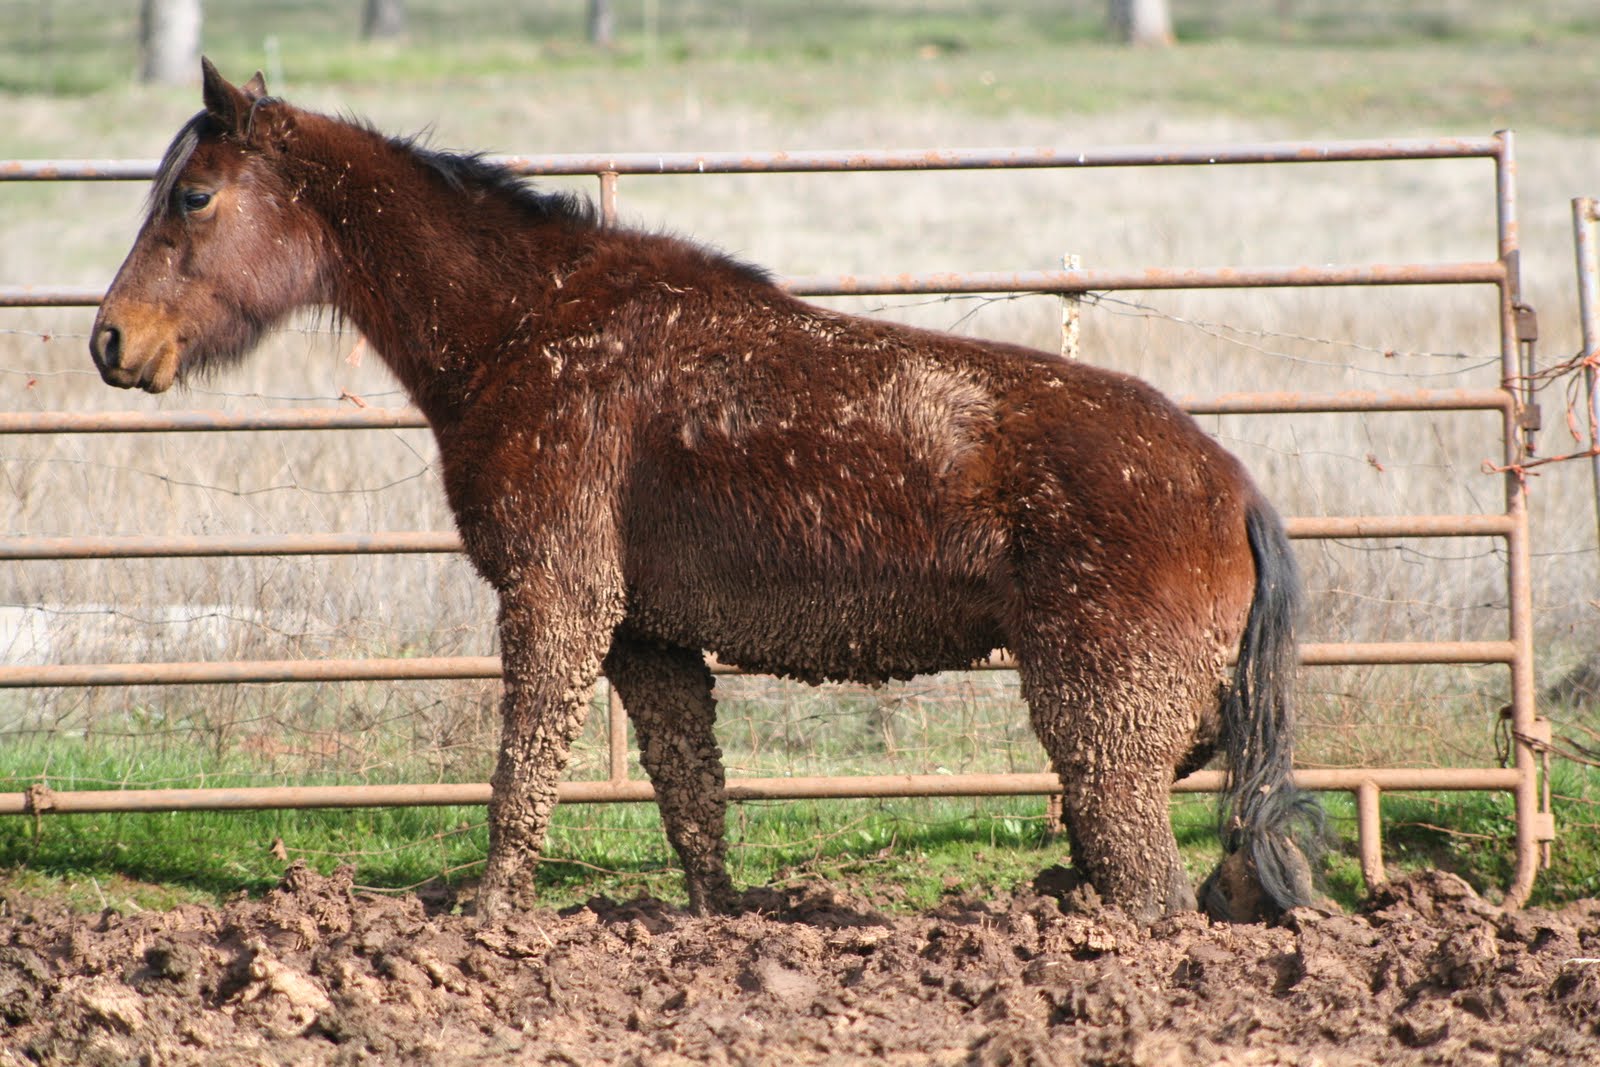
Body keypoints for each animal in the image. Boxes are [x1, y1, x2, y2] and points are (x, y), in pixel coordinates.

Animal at [90, 61, 1321, 923]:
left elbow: (523, 766)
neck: (527, 328)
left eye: (193, 197)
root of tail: (1229, 483)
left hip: (1102, 727)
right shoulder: (647, 638)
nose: (111, 341)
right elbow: (691, 796)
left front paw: (489, 916)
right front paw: (719, 923)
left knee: (1150, 892)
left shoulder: (558, 600)